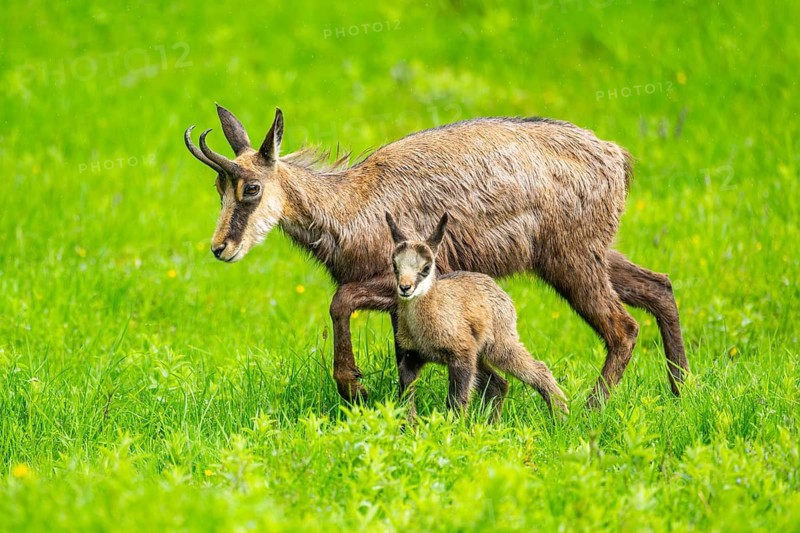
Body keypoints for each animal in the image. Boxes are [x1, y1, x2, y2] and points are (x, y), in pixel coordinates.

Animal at [386, 211, 568, 419]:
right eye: (394, 265)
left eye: (426, 267)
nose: (405, 288)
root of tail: (502, 294)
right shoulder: (411, 356)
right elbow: (406, 394)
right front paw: (409, 423)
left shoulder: (462, 354)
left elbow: (457, 399)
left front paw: (455, 425)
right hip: (480, 355)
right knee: (498, 383)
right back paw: (492, 423)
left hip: (499, 345)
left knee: (538, 369)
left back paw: (561, 417)